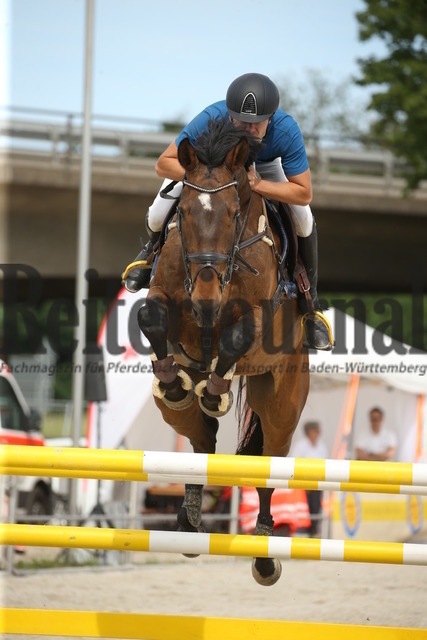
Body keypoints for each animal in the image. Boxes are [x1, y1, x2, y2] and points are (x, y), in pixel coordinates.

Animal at [139, 117, 310, 588]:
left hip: (283, 401)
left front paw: (218, 391)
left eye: (234, 215)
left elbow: (237, 337)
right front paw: (175, 380)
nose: (206, 300)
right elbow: (150, 316)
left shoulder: (257, 321)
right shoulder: (166, 296)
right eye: (183, 213)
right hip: (176, 413)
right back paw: (190, 521)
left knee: (269, 460)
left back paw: (265, 552)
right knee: (201, 442)